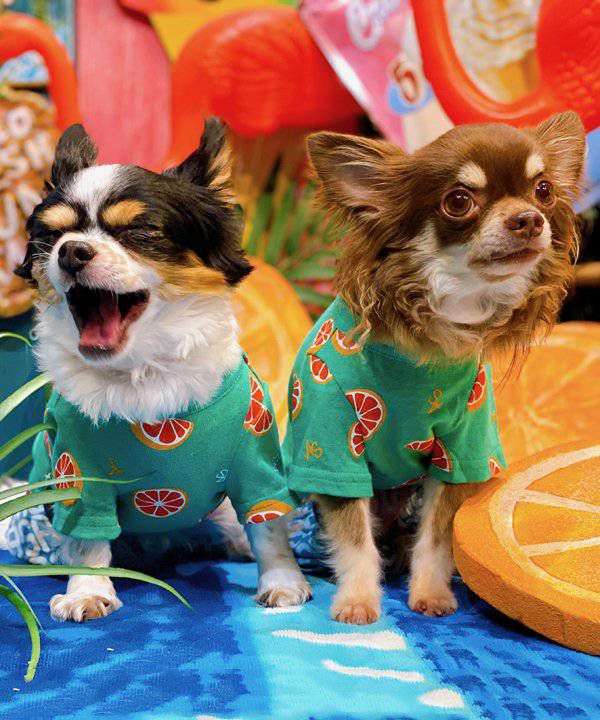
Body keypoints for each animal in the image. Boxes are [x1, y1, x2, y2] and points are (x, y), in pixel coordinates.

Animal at [14, 118, 311, 621]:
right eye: (50, 238)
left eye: (140, 231)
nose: (71, 252)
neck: (144, 375)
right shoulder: (79, 475)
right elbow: (87, 542)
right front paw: (86, 591)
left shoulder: (257, 465)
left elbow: (269, 528)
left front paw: (284, 583)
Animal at [283, 111, 585, 624]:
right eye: (459, 201)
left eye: (543, 190)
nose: (529, 218)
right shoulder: (332, 449)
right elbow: (355, 539)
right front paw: (358, 601)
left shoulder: (460, 452)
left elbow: (438, 536)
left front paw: (430, 593)